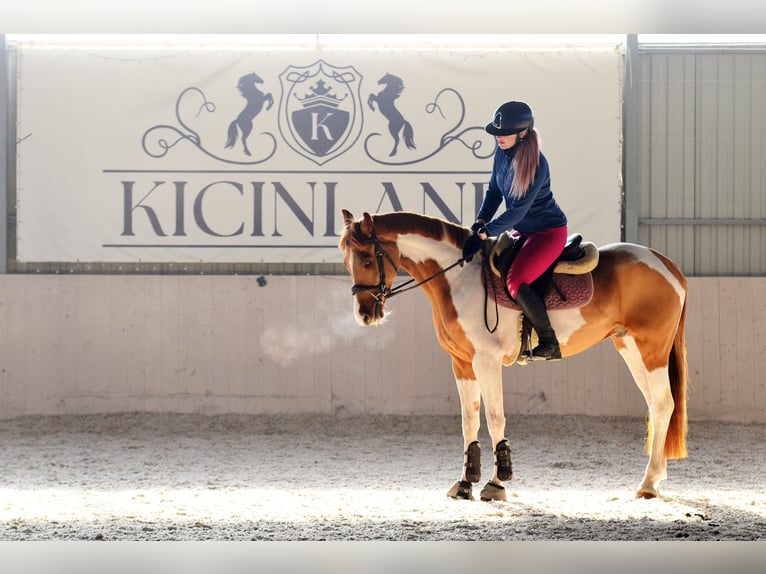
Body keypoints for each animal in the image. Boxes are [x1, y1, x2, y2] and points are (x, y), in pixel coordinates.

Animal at [339, 209, 688, 502]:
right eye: (346, 262)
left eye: (367, 261)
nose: (364, 315)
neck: (459, 280)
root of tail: (666, 264)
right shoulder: (462, 362)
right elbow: (469, 420)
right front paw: (465, 482)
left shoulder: (486, 361)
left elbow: (495, 418)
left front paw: (497, 483)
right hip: (630, 348)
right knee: (656, 406)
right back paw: (654, 478)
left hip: (651, 349)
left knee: (662, 404)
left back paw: (648, 484)